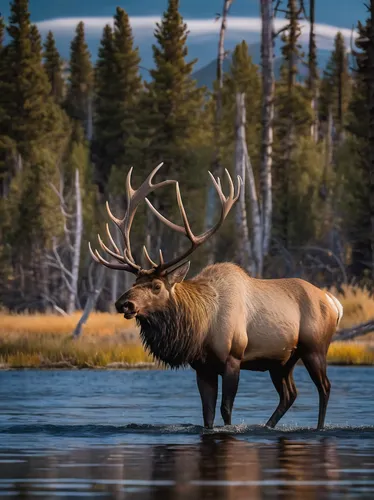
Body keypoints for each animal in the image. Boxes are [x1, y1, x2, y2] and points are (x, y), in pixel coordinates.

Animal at [89, 164, 344, 430]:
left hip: (314, 348)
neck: (201, 326)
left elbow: (226, 409)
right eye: (134, 282)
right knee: (289, 394)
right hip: (283, 360)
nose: (123, 303)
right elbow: (207, 414)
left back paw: (319, 427)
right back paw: (268, 426)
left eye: (156, 286)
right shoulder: (203, 367)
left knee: (324, 388)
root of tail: (334, 302)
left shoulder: (233, 358)